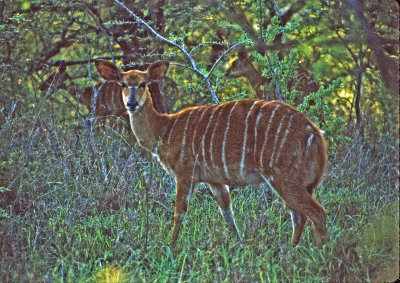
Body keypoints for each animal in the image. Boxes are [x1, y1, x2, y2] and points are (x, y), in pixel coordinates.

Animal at [95, 60, 326, 248]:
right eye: (123, 84)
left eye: (143, 84)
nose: (131, 104)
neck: (165, 129)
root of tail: (315, 134)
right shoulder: (214, 180)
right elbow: (228, 213)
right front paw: (239, 244)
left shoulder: (185, 174)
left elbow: (179, 212)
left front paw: (170, 247)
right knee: (298, 216)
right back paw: (292, 249)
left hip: (283, 177)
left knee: (317, 213)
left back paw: (319, 253)